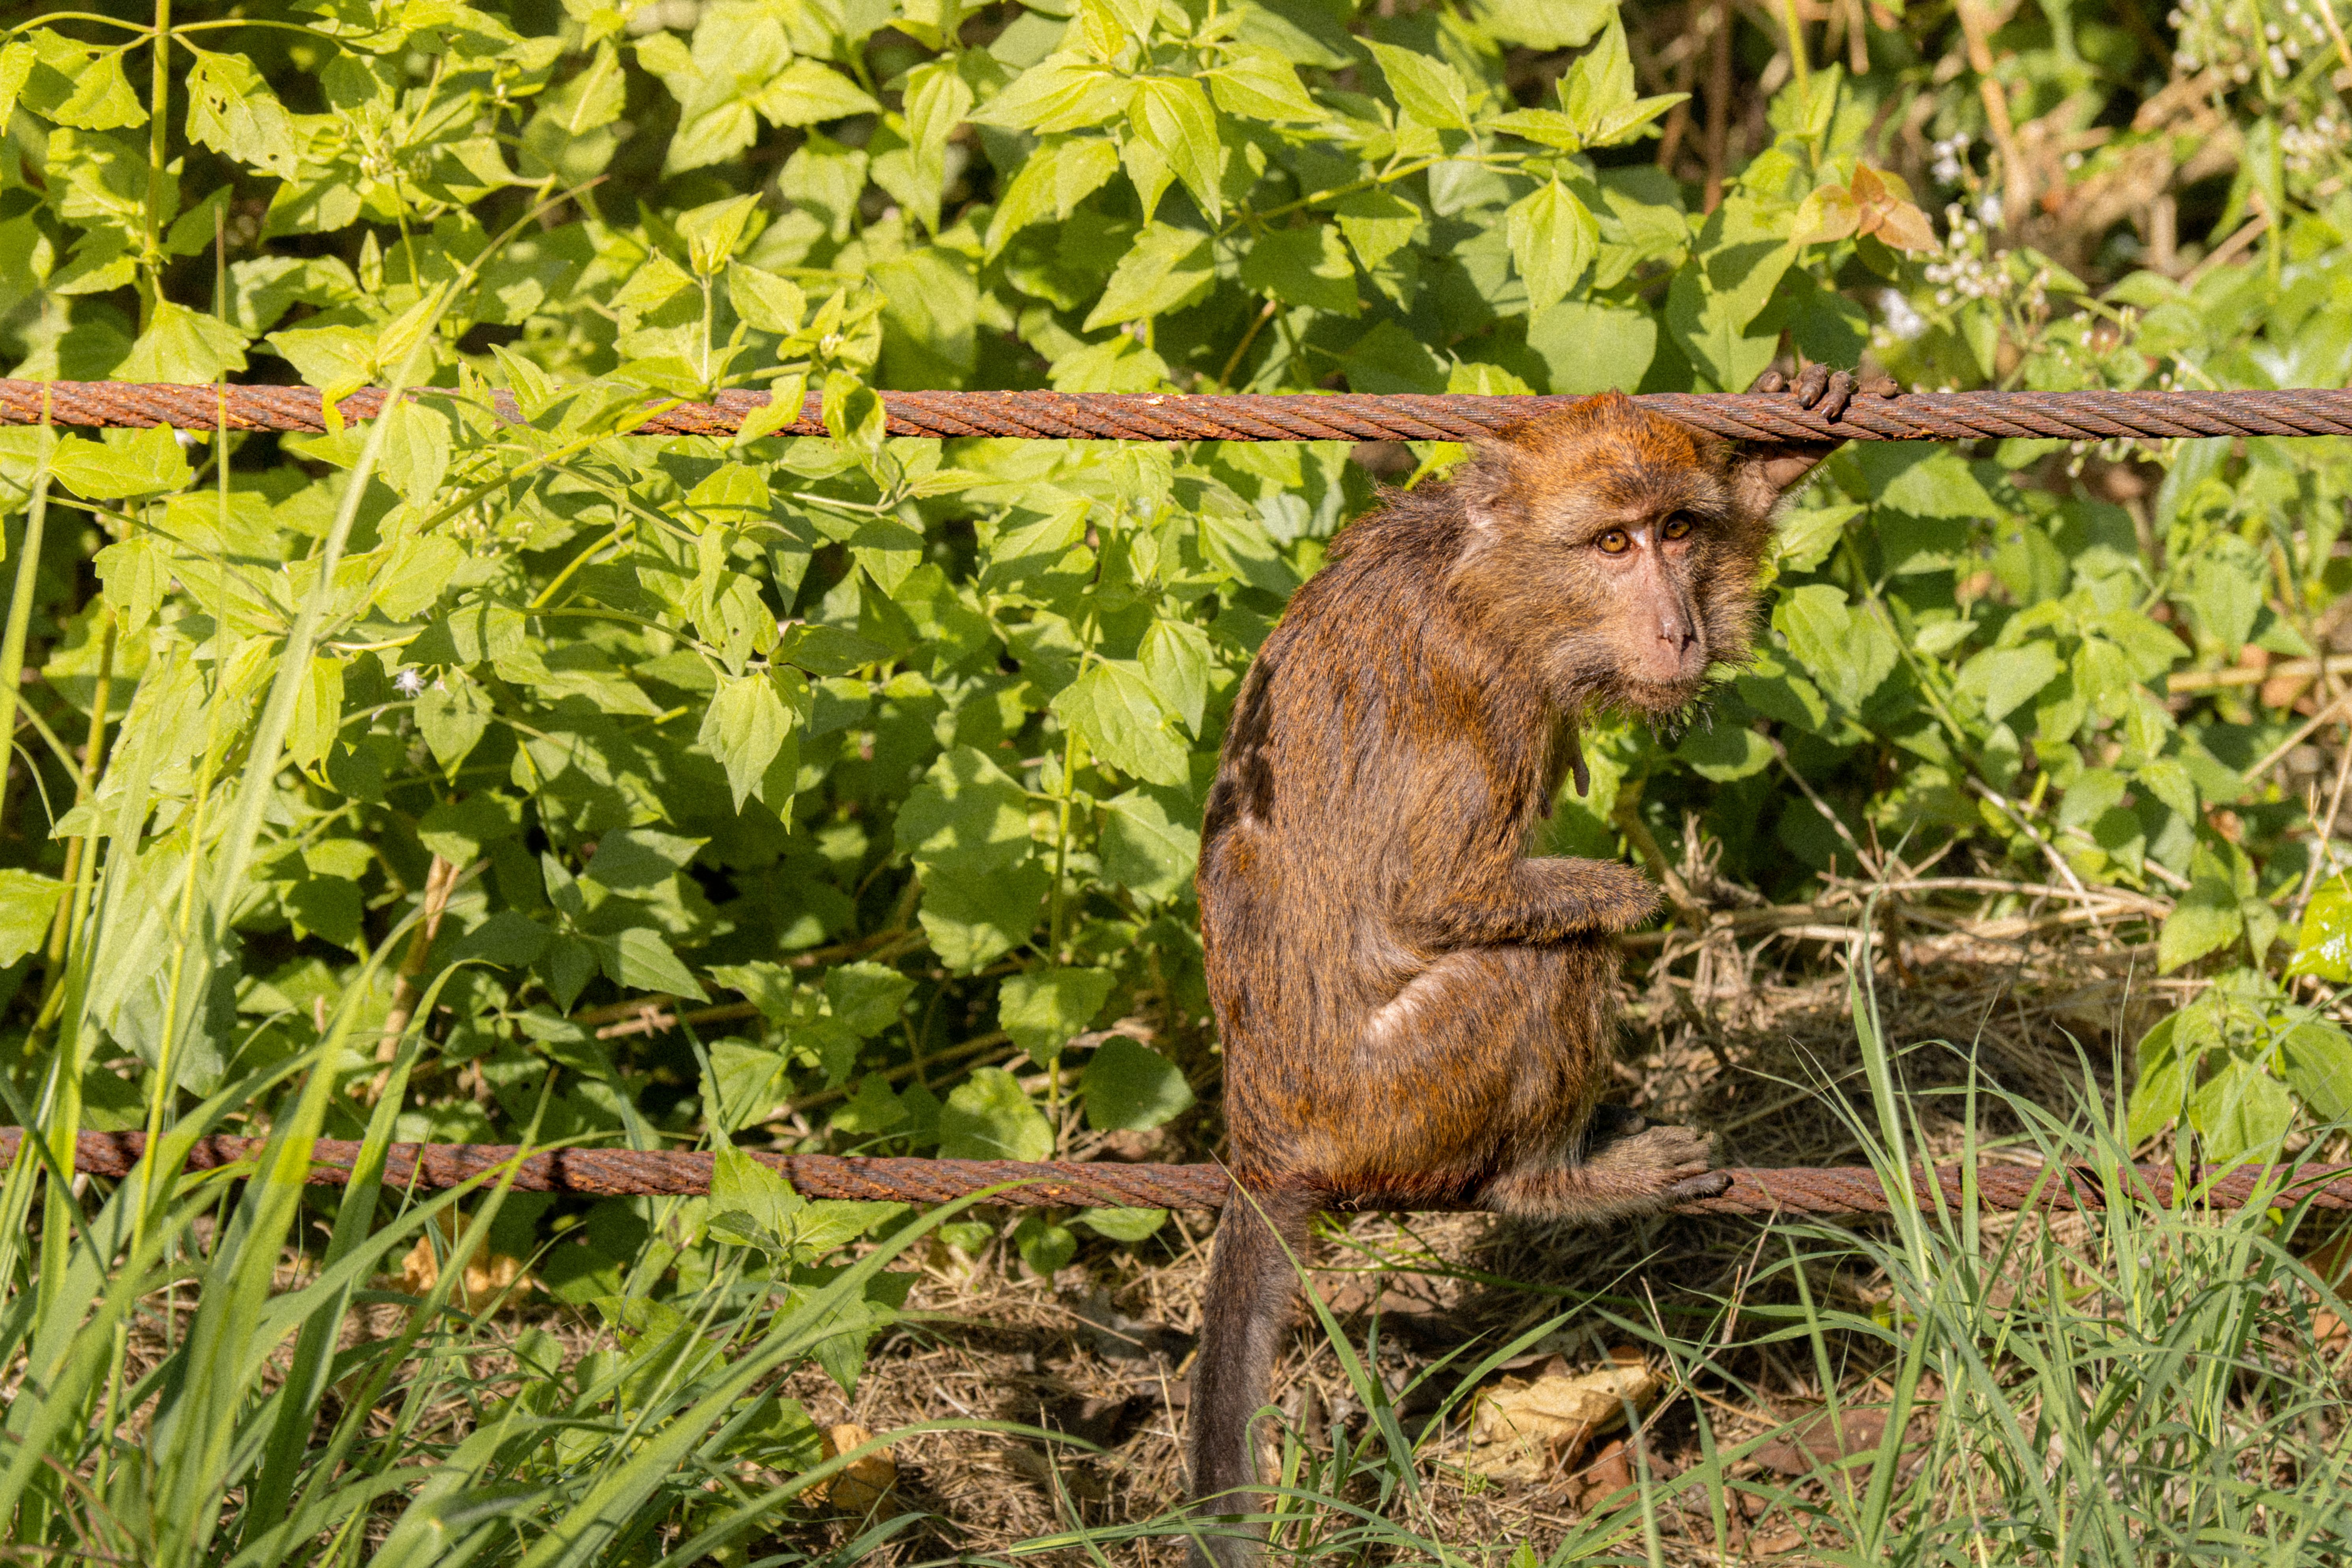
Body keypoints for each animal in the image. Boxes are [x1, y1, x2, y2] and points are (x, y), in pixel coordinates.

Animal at [1181, 370, 1871, 1566]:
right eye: (1610, 542)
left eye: (1675, 530)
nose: (1678, 628)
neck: (1486, 574)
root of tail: (1264, 1140)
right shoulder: (1485, 687)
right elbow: (1427, 893)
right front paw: (1629, 892)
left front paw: (1771, 463)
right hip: (1396, 1100)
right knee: (1540, 968)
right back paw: (1552, 1178)